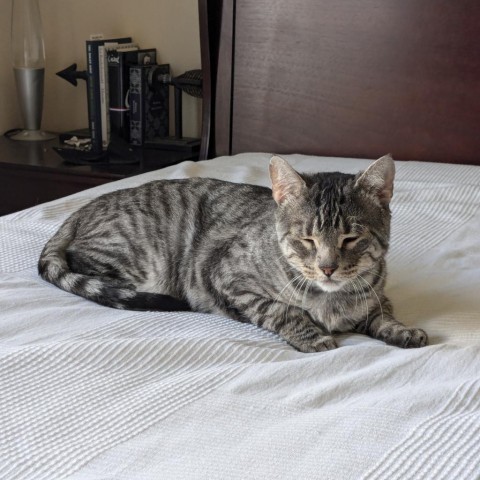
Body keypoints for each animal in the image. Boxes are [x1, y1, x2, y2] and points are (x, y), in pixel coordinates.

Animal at [37, 155, 428, 352]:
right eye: (307, 240)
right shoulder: (225, 276)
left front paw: (402, 330)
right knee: (79, 262)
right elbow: (282, 310)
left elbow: (383, 314)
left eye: (350, 238)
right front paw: (311, 335)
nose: (328, 268)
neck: (331, 300)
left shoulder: (376, 295)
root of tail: (86, 205)